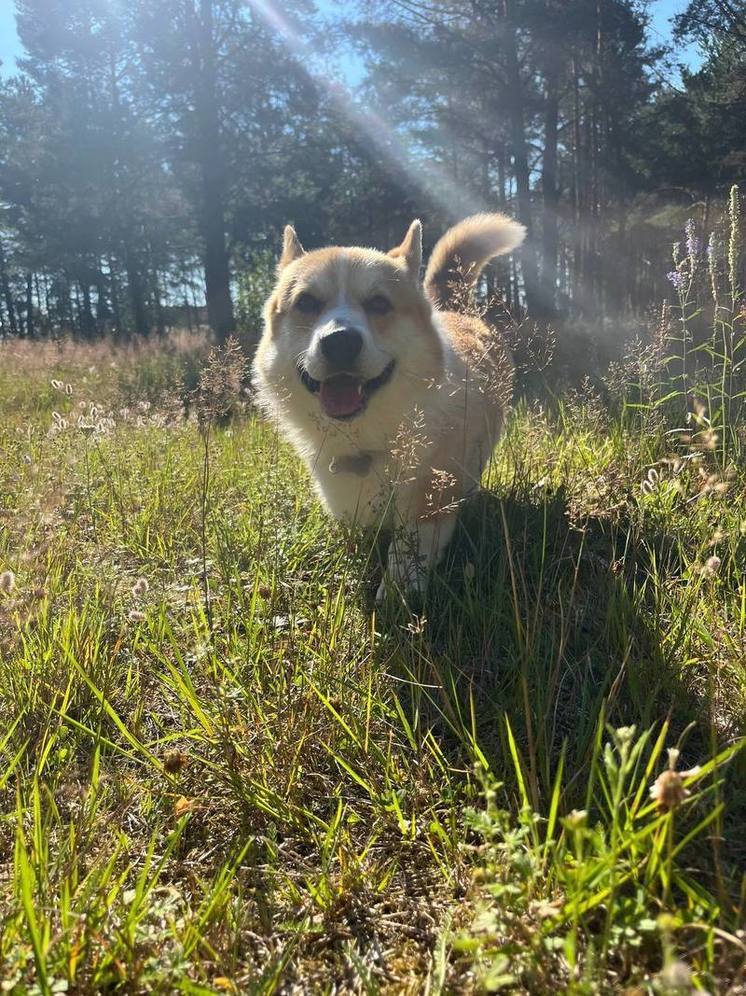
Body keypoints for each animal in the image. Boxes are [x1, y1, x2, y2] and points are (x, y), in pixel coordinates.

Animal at [253, 213, 528, 600]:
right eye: (306, 302)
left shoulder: (428, 499)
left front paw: (396, 593)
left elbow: (407, 550)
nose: (340, 342)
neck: (364, 439)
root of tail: (453, 308)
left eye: (379, 304)